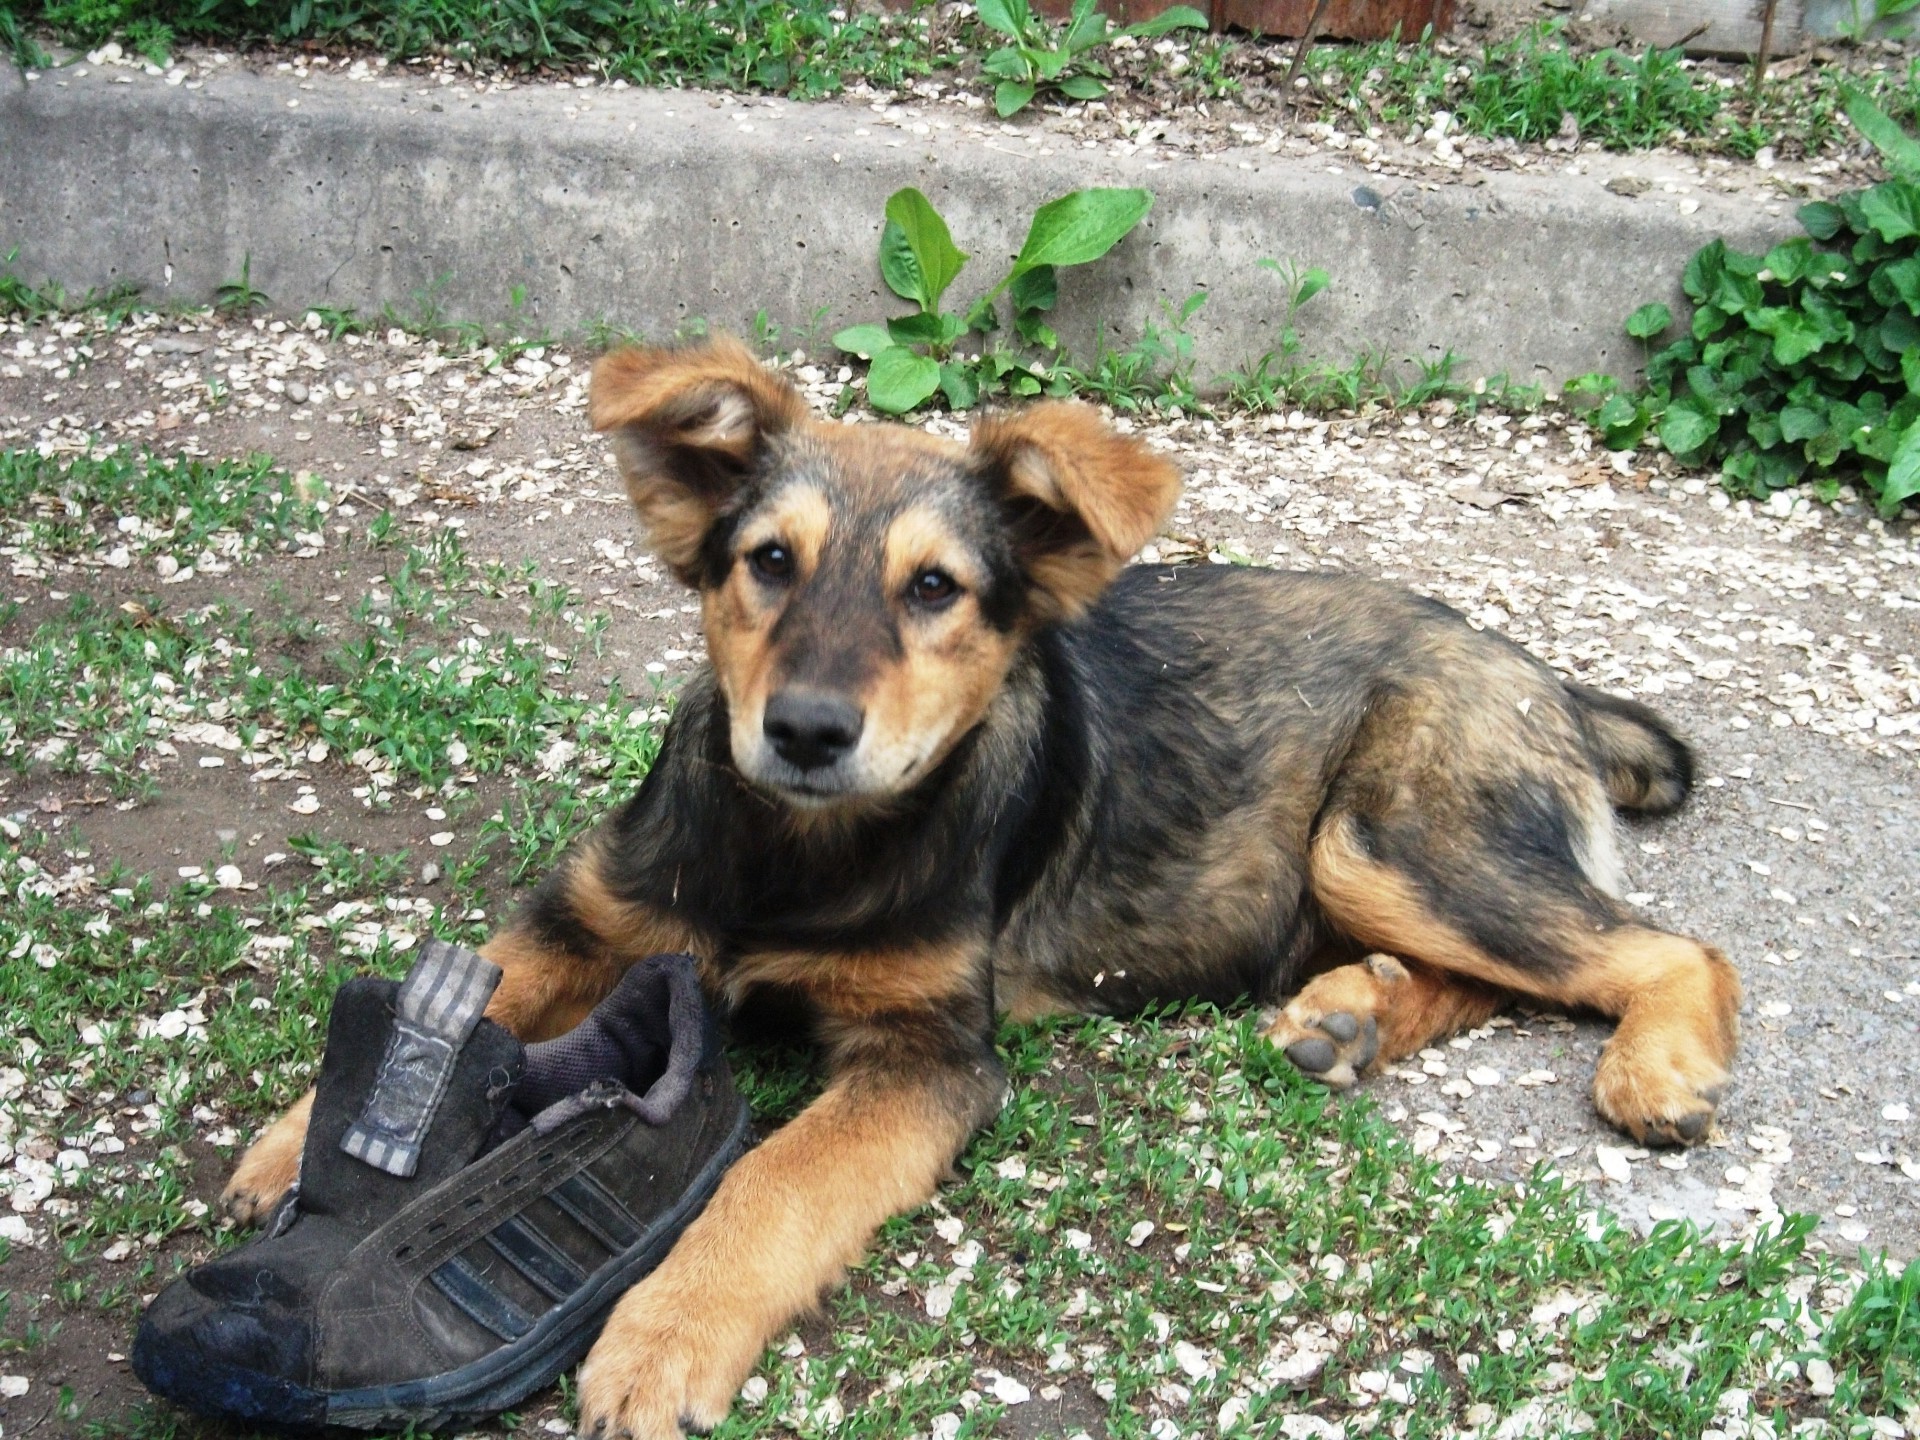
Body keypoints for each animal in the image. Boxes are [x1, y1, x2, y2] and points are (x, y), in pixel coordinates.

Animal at [220, 341, 1743, 1440]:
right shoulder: (596, 910)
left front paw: (661, 1334)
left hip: (1379, 841)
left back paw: (1653, 1068)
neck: (800, 851)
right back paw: (1347, 1017)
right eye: (766, 562)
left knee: (1669, 950)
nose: (806, 731)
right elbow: (493, 975)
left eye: (937, 590)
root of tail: (1544, 676)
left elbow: (770, 1183)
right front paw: (305, 1142)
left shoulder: (931, 1056)